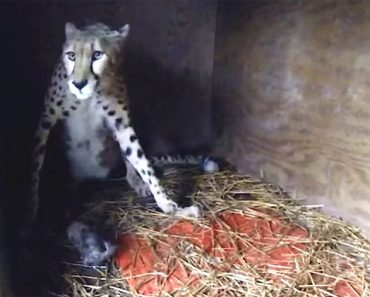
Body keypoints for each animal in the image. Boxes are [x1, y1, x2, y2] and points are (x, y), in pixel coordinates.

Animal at [31, 22, 220, 223]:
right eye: (71, 55)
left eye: (97, 54)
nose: (79, 84)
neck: (90, 96)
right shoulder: (45, 123)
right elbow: (35, 169)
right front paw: (30, 211)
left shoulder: (122, 125)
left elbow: (142, 162)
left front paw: (167, 203)